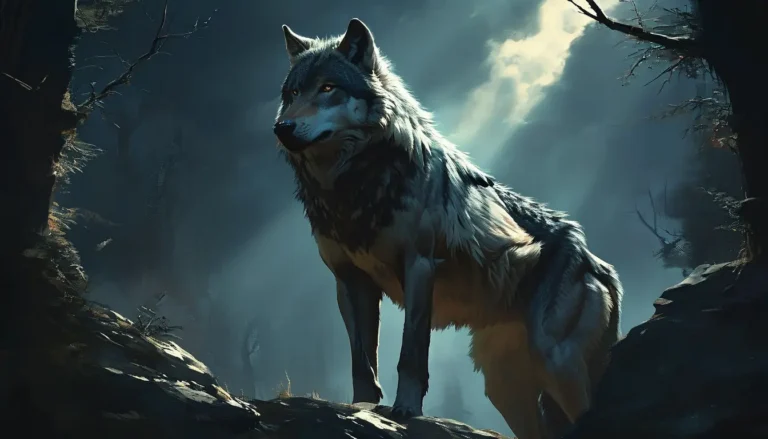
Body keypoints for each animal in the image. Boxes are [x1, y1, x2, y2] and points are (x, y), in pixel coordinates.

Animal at [271, 18, 623, 439]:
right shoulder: (349, 280)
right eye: (292, 93)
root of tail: (601, 265)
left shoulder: (419, 266)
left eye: (327, 88)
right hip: (505, 387)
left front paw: (405, 410)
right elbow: (363, 361)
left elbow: (410, 354)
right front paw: (361, 409)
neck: (352, 184)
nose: (282, 128)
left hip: (556, 362)